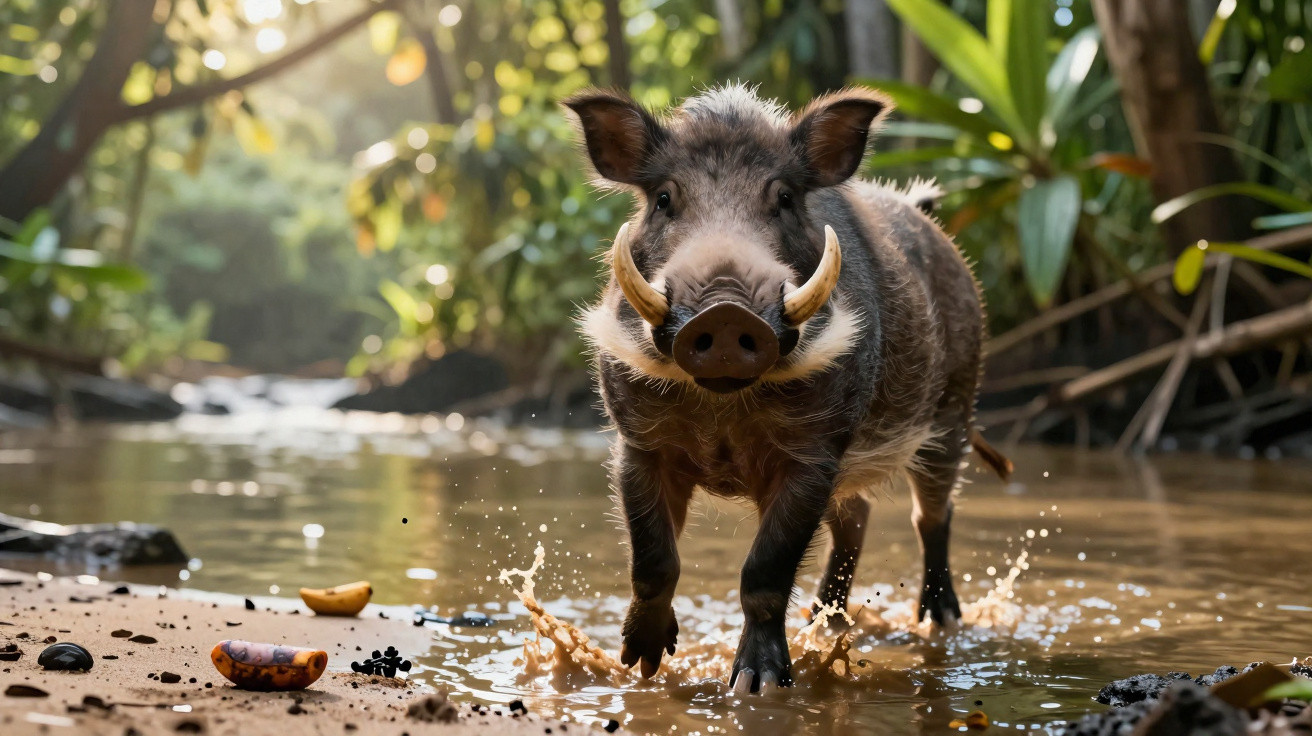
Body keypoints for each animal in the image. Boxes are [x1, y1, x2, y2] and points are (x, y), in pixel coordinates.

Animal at [565, 83, 1011, 693]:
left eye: (783, 197)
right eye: (662, 199)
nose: (726, 311)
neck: (724, 400)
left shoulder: (813, 456)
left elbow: (765, 570)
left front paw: (758, 683)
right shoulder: (640, 447)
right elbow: (654, 562)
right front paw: (641, 663)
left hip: (952, 417)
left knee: (931, 517)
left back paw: (939, 621)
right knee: (854, 521)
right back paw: (824, 623)